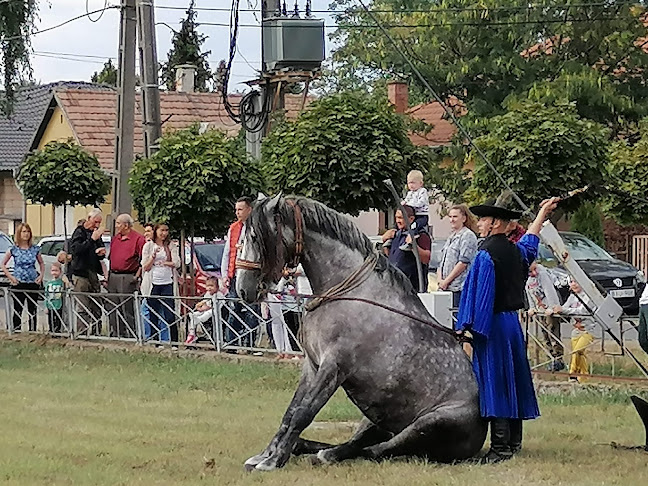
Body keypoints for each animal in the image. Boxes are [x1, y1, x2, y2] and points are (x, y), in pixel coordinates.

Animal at [235, 196, 484, 470]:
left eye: (255, 236)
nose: (243, 288)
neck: (346, 293)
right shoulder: (312, 366)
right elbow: (291, 411)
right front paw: (265, 455)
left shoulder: (334, 367)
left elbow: (303, 413)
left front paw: (273, 461)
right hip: (374, 420)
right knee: (361, 441)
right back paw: (308, 448)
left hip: (427, 424)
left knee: (375, 450)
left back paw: (325, 455)